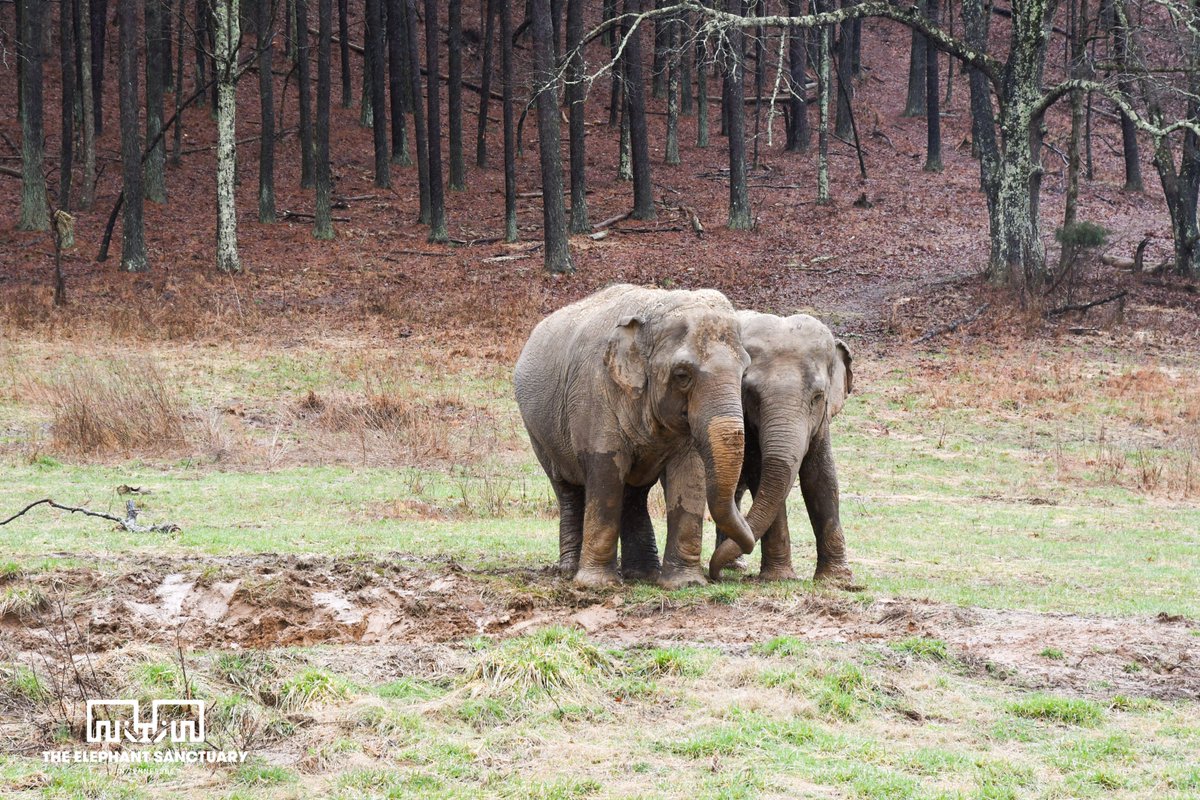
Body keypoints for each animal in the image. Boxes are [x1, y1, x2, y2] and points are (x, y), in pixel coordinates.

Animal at [514, 284, 758, 589]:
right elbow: (606, 471)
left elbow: (689, 474)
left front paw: (685, 583)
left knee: (633, 493)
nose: (718, 573)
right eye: (682, 375)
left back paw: (642, 575)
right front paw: (596, 585)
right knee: (566, 488)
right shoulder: (595, 392)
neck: (652, 310)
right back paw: (570, 571)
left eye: (744, 372)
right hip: (538, 432)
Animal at [621, 311, 854, 584]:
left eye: (817, 397)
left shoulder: (821, 423)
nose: (715, 576)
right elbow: (761, 474)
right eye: (751, 395)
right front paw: (779, 578)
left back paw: (735, 565)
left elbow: (822, 479)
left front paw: (839, 581)